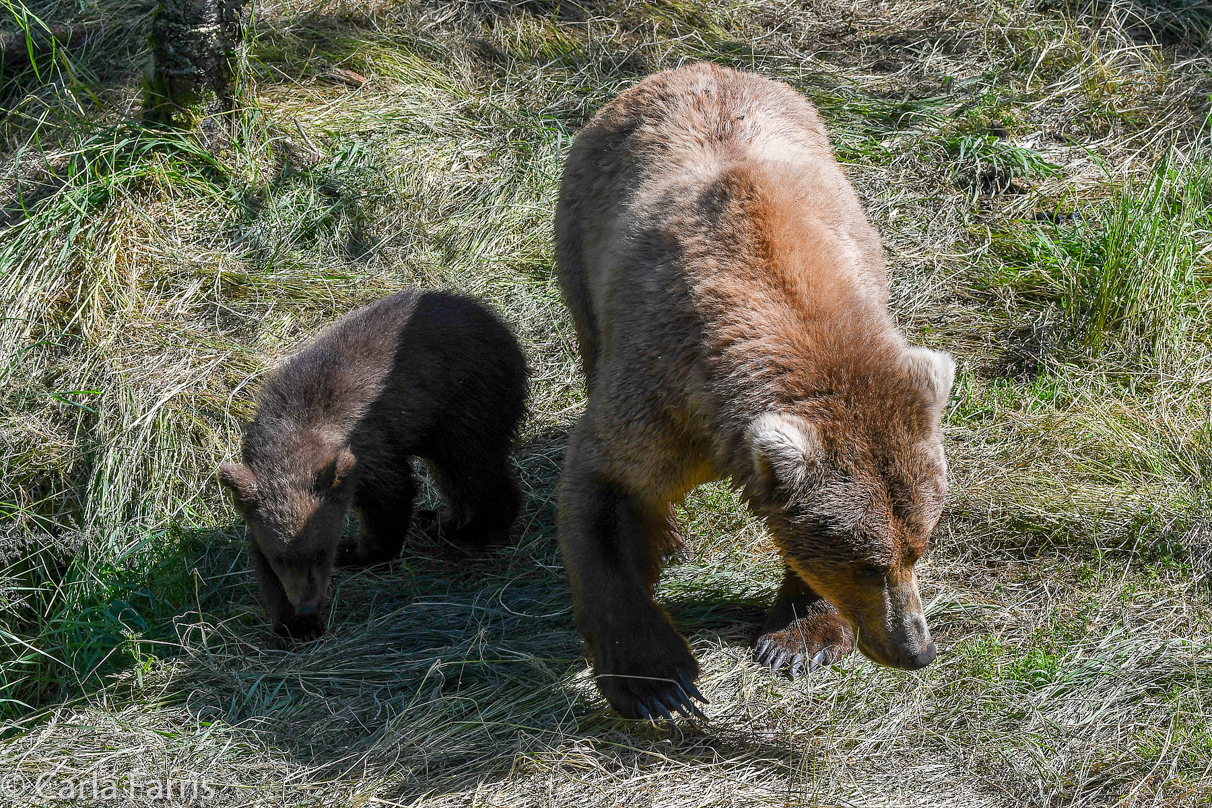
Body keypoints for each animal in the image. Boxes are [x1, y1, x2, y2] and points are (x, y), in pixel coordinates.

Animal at [223, 287, 526, 639]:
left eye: (322, 551)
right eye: (280, 558)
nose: (307, 605)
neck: (295, 430)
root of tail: (495, 321)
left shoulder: (370, 446)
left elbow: (390, 498)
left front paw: (360, 552)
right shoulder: (260, 486)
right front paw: (294, 625)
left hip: (468, 398)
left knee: (472, 466)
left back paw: (477, 530)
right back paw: (445, 522)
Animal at [555, 63, 950, 721]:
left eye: (917, 547)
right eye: (867, 565)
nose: (915, 648)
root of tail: (694, 67)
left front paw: (800, 639)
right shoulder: (661, 391)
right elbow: (607, 490)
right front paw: (659, 682)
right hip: (580, 246)